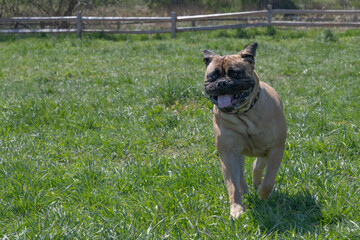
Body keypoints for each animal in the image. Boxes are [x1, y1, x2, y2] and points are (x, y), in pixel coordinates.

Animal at [202, 41, 286, 219]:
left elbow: (269, 178)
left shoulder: (276, 148)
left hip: (265, 151)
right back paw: (245, 190)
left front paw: (262, 194)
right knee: (240, 175)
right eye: (213, 76)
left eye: (235, 73)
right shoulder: (228, 153)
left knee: (258, 166)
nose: (222, 83)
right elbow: (232, 185)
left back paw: (256, 184)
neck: (243, 114)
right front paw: (236, 210)